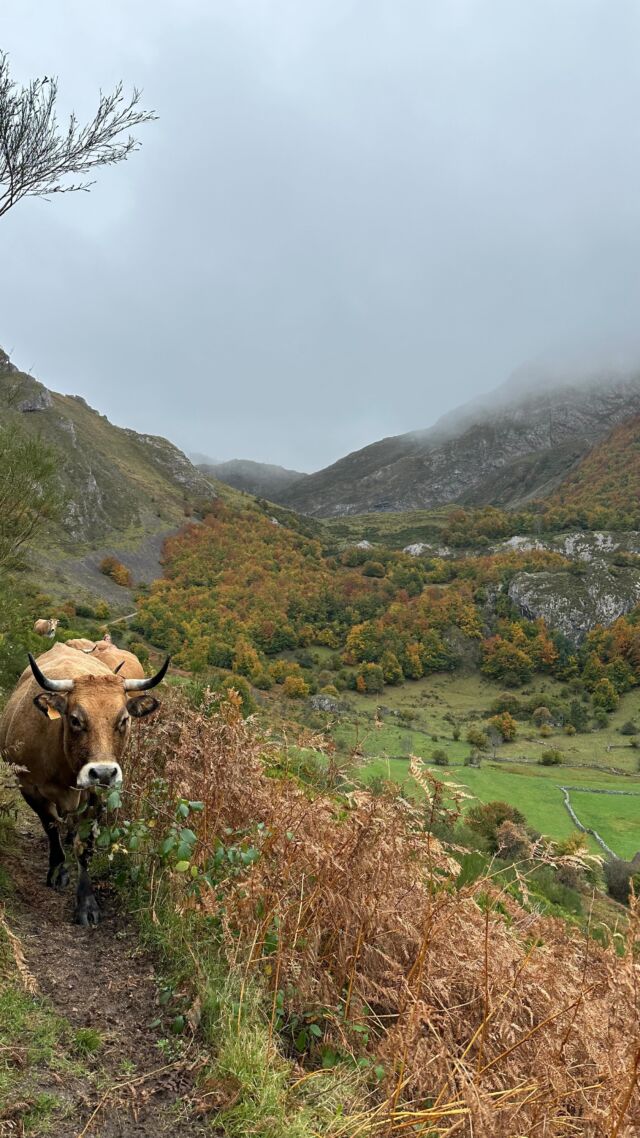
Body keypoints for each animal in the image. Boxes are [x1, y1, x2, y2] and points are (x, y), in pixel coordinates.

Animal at [0, 641, 169, 924]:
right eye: (75, 719)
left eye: (124, 720)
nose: (103, 773)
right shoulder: (30, 789)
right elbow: (51, 828)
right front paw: (58, 871)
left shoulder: (96, 797)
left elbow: (85, 846)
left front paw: (86, 902)